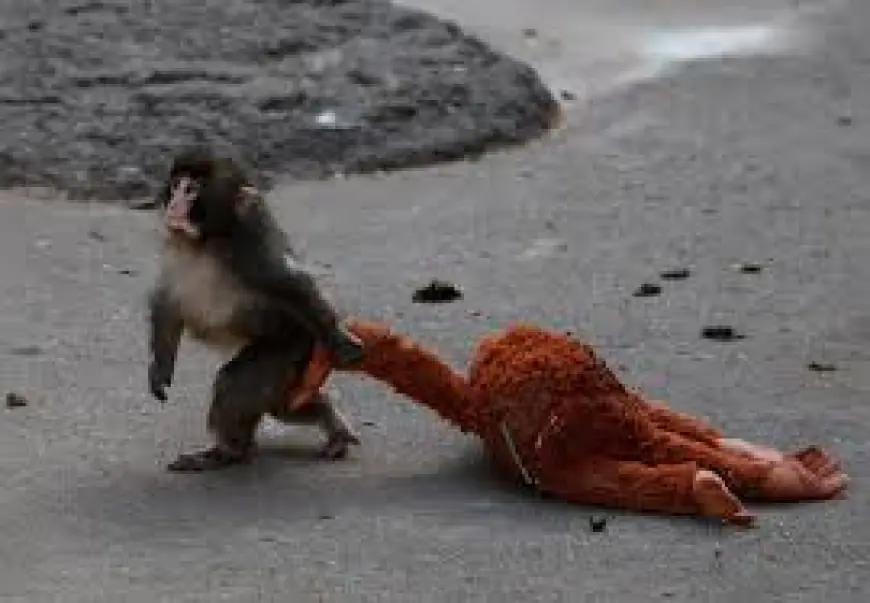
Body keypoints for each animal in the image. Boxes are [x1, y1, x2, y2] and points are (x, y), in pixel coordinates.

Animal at [147, 147, 362, 471]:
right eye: (175, 185)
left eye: (191, 189)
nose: (173, 205)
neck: (209, 239)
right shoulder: (176, 243)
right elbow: (168, 300)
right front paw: (159, 367)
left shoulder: (252, 237)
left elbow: (288, 282)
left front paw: (339, 339)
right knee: (282, 406)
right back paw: (325, 417)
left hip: (291, 345)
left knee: (236, 386)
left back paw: (229, 452)